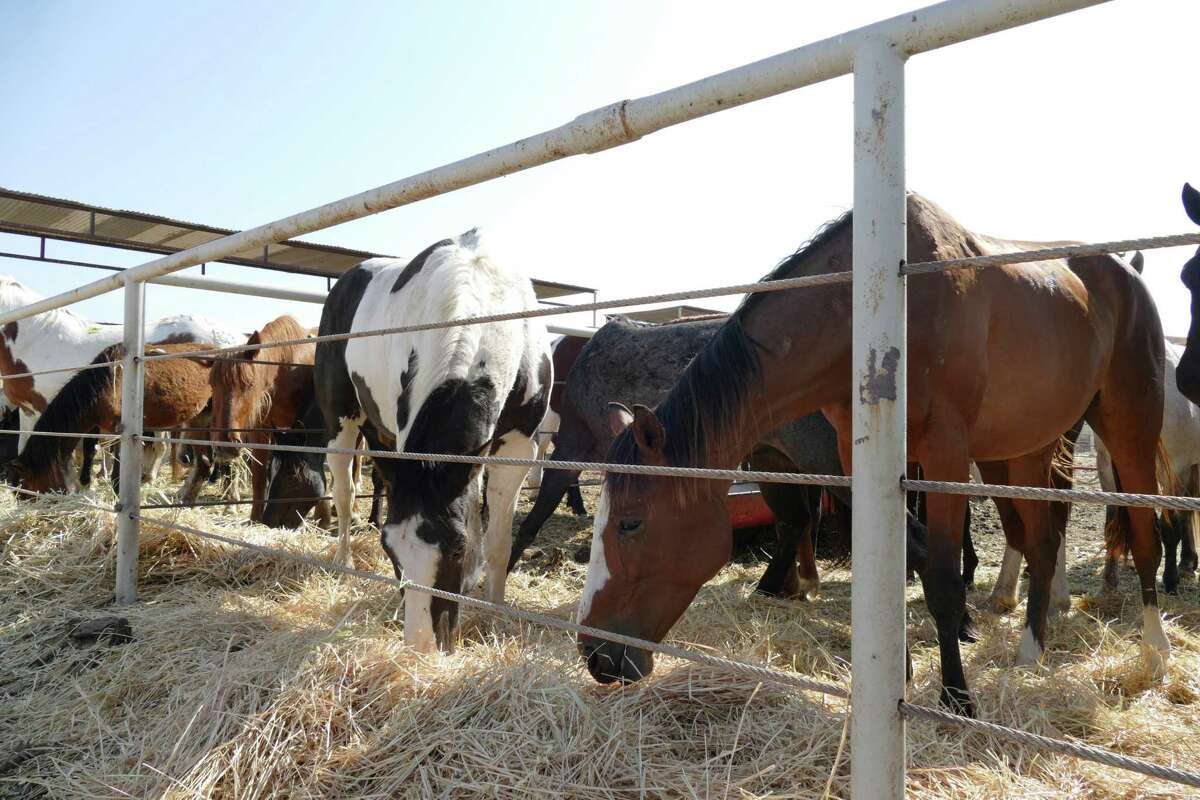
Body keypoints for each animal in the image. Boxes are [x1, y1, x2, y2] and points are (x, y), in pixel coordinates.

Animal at [9, 342, 214, 495]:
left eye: (25, 482)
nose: (23, 499)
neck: (109, 381)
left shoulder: (119, 430)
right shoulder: (96, 426)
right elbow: (90, 450)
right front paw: (86, 483)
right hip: (199, 418)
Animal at [311, 229, 551, 653]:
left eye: (458, 547)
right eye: (389, 548)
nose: (421, 647)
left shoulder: (518, 447)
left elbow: (498, 541)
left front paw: (496, 612)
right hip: (341, 421)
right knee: (344, 492)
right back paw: (343, 563)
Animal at [577, 193, 1166, 718]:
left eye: (630, 523)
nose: (595, 655)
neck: (878, 316)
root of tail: (1126, 272)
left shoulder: (945, 456)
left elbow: (942, 580)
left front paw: (956, 698)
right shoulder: (858, 457)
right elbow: (901, 562)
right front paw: (899, 674)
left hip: (1129, 429)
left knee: (1145, 537)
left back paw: (1154, 656)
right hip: (1028, 448)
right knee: (1043, 541)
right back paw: (1029, 653)